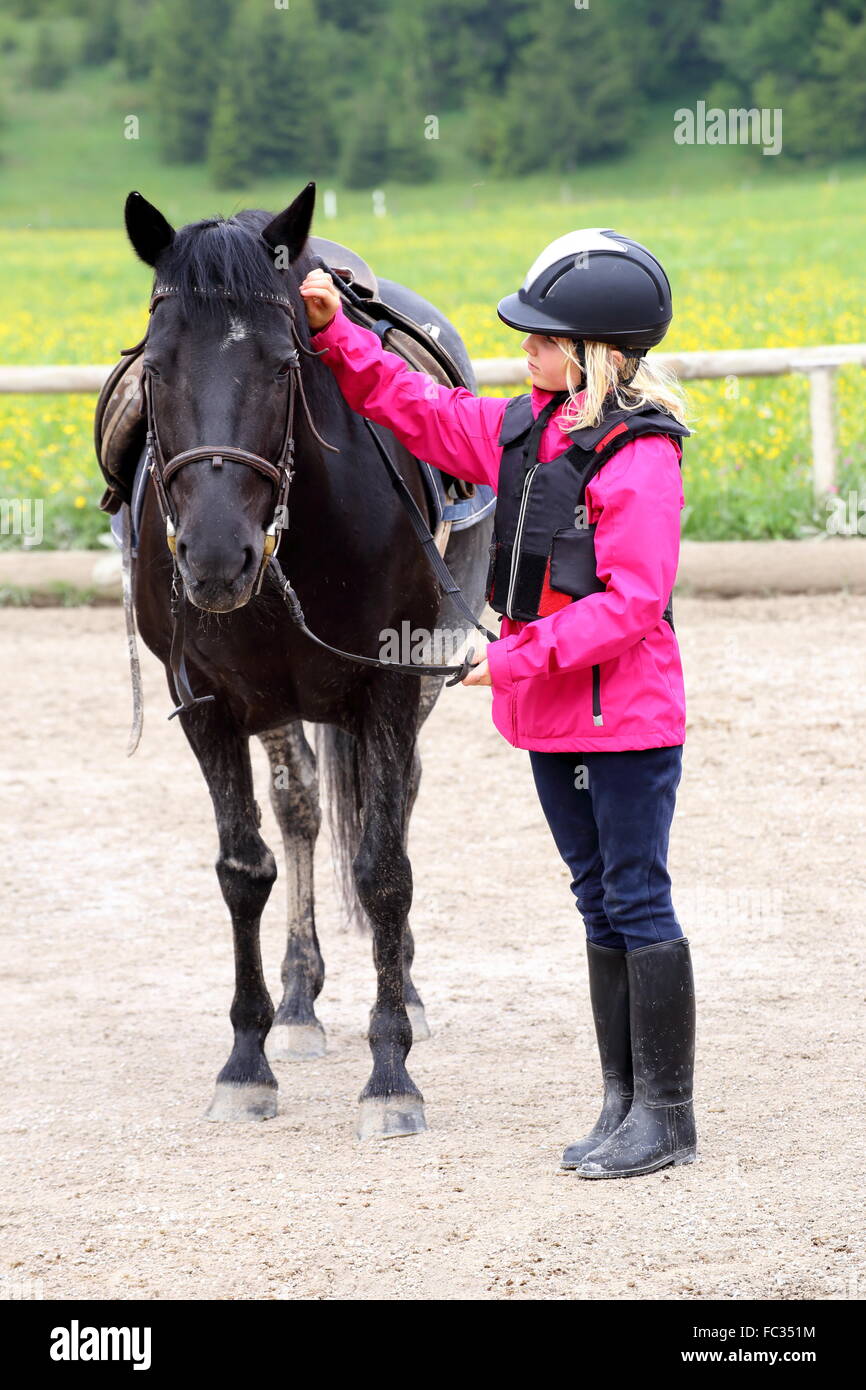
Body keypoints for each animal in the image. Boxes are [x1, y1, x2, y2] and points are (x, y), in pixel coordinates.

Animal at [125, 184, 497, 1139]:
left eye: (283, 365)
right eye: (155, 369)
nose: (216, 556)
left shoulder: (393, 681)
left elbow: (384, 868)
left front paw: (392, 1073)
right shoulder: (207, 700)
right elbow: (243, 867)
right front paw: (246, 1060)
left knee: (389, 809)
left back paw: (408, 990)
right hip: (279, 701)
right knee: (299, 807)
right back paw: (298, 1002)